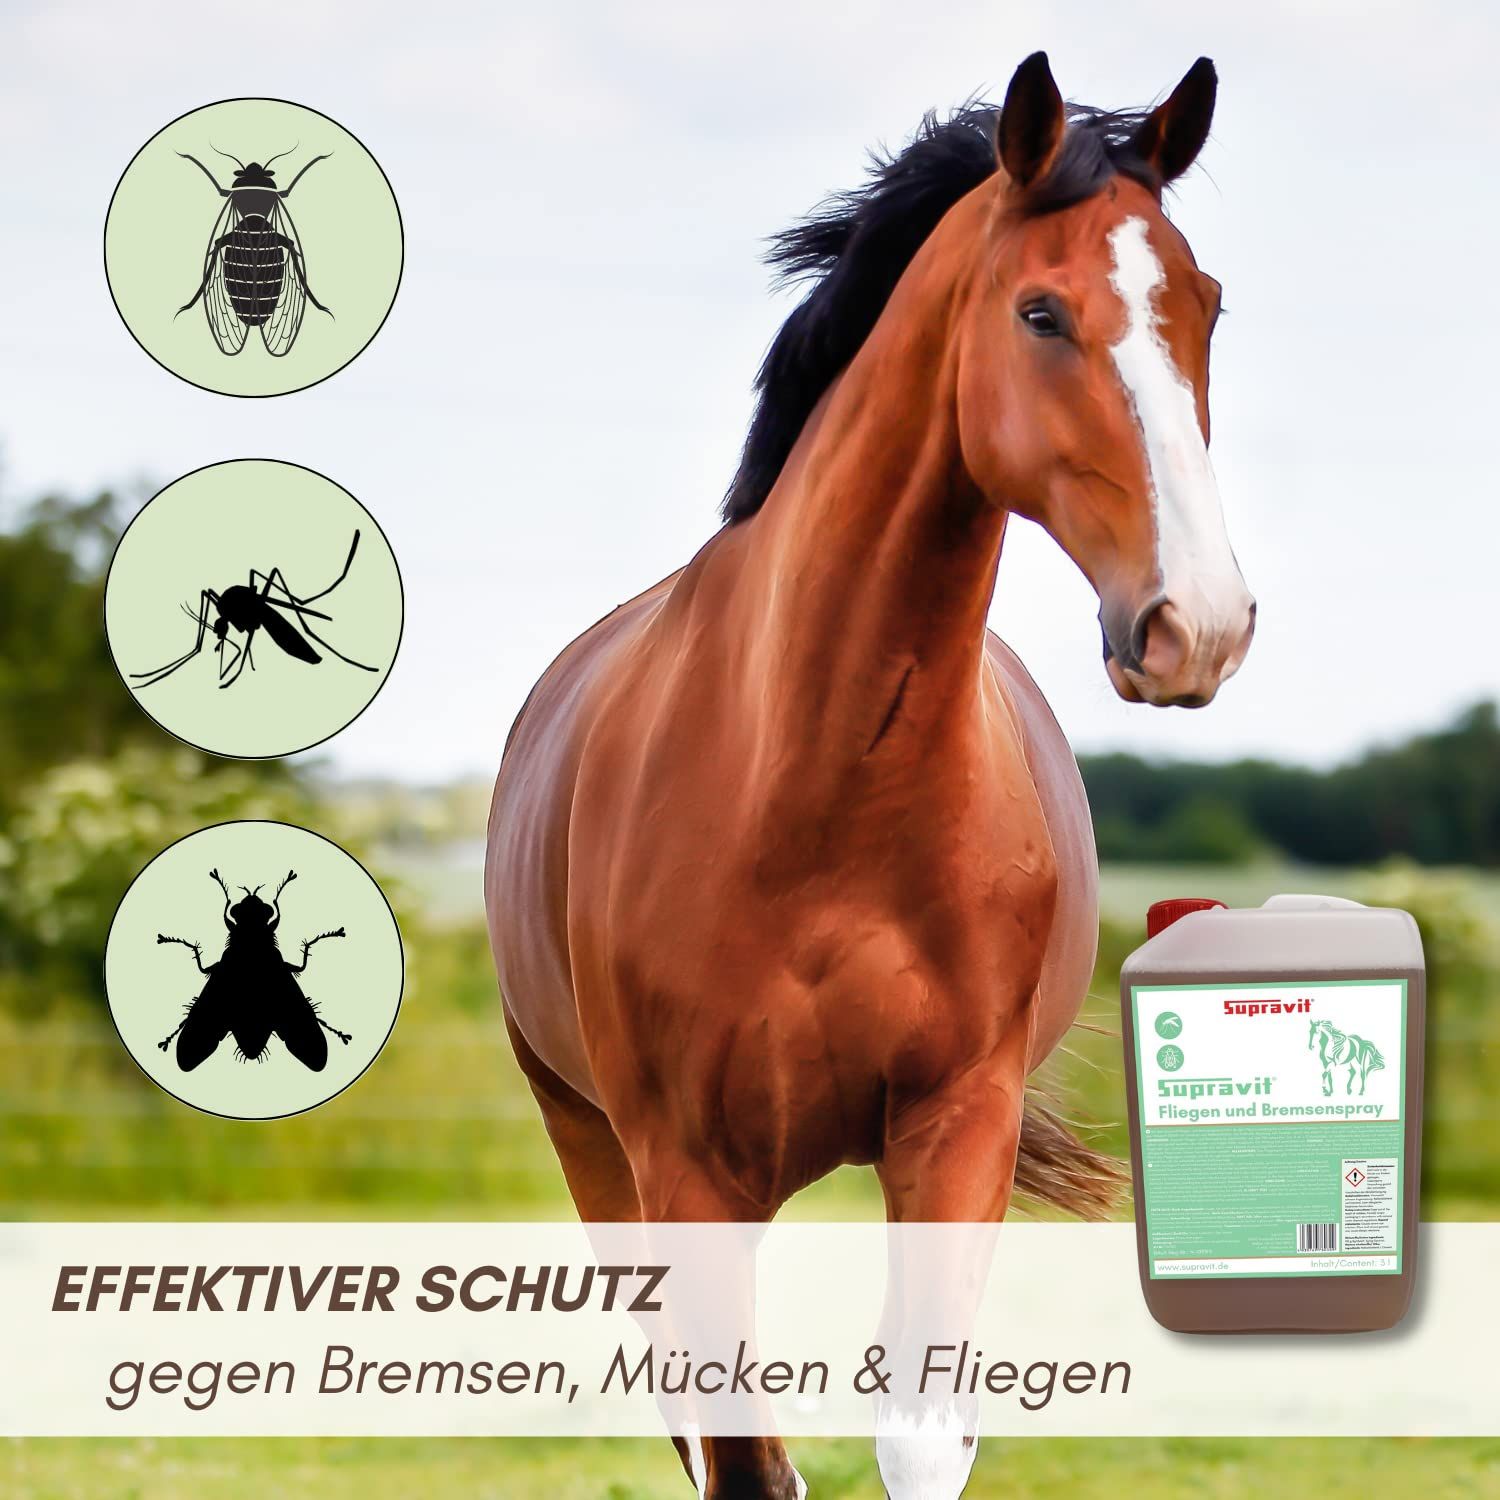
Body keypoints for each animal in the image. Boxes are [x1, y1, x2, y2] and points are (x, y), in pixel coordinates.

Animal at [486, 51, 1255, 1500]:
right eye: (1040, 312)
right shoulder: (684, 1167)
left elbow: (915, 1428)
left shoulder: (956, 1127)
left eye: (1207, 308)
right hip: (601, 1160)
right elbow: (741, 1457)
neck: (821, 785)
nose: (1201, 623)